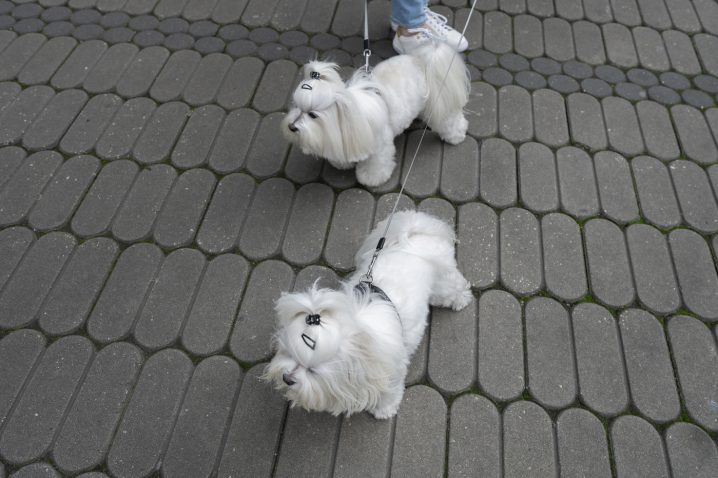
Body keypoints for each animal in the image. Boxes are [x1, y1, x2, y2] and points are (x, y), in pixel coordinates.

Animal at [262, 211, 472, 420]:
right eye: (289, 353)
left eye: (312, 370)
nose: (286, 378)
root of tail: (415, 231)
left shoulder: (389, 370)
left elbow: (388, 391)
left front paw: (384, 409)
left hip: (443, 283)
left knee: (453, 289)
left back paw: (461, 300)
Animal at [282, 42, 472, 187]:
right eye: (297, 106)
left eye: (313, 115)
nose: (291, 127)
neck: (349, 115)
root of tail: (421, 60)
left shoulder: (379, 145)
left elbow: (376, 164)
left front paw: (371, 178)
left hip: (437, 104)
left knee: (449, 120)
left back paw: (456, 135)